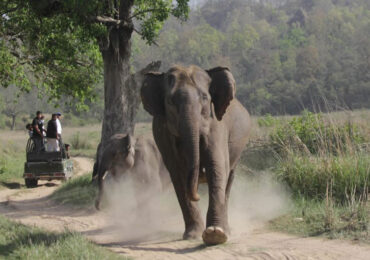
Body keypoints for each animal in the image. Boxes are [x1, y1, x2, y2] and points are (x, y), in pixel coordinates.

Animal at [141, 65, 251, 246]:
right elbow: (178, 174)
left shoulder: (216, 125)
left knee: (229, 180)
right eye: (170, 102)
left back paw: (226, 230)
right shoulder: (164, 136)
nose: (197, 196)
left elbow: (217, 167)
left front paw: (215, 235)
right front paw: (193, 235)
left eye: (205, 98)